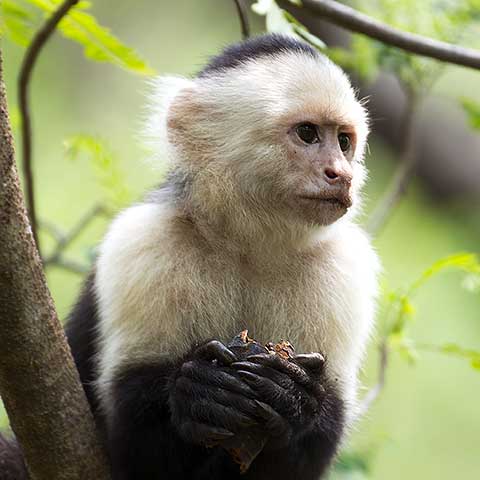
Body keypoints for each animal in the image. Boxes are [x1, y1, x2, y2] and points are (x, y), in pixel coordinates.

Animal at [0, 34, 378, 480]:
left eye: (344, 141)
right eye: (307, 133)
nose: (342, 174)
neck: (249, 243)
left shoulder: (343, 267)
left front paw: (294, 398)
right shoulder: (144, 243)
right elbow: (134, 447)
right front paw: (197, 392)